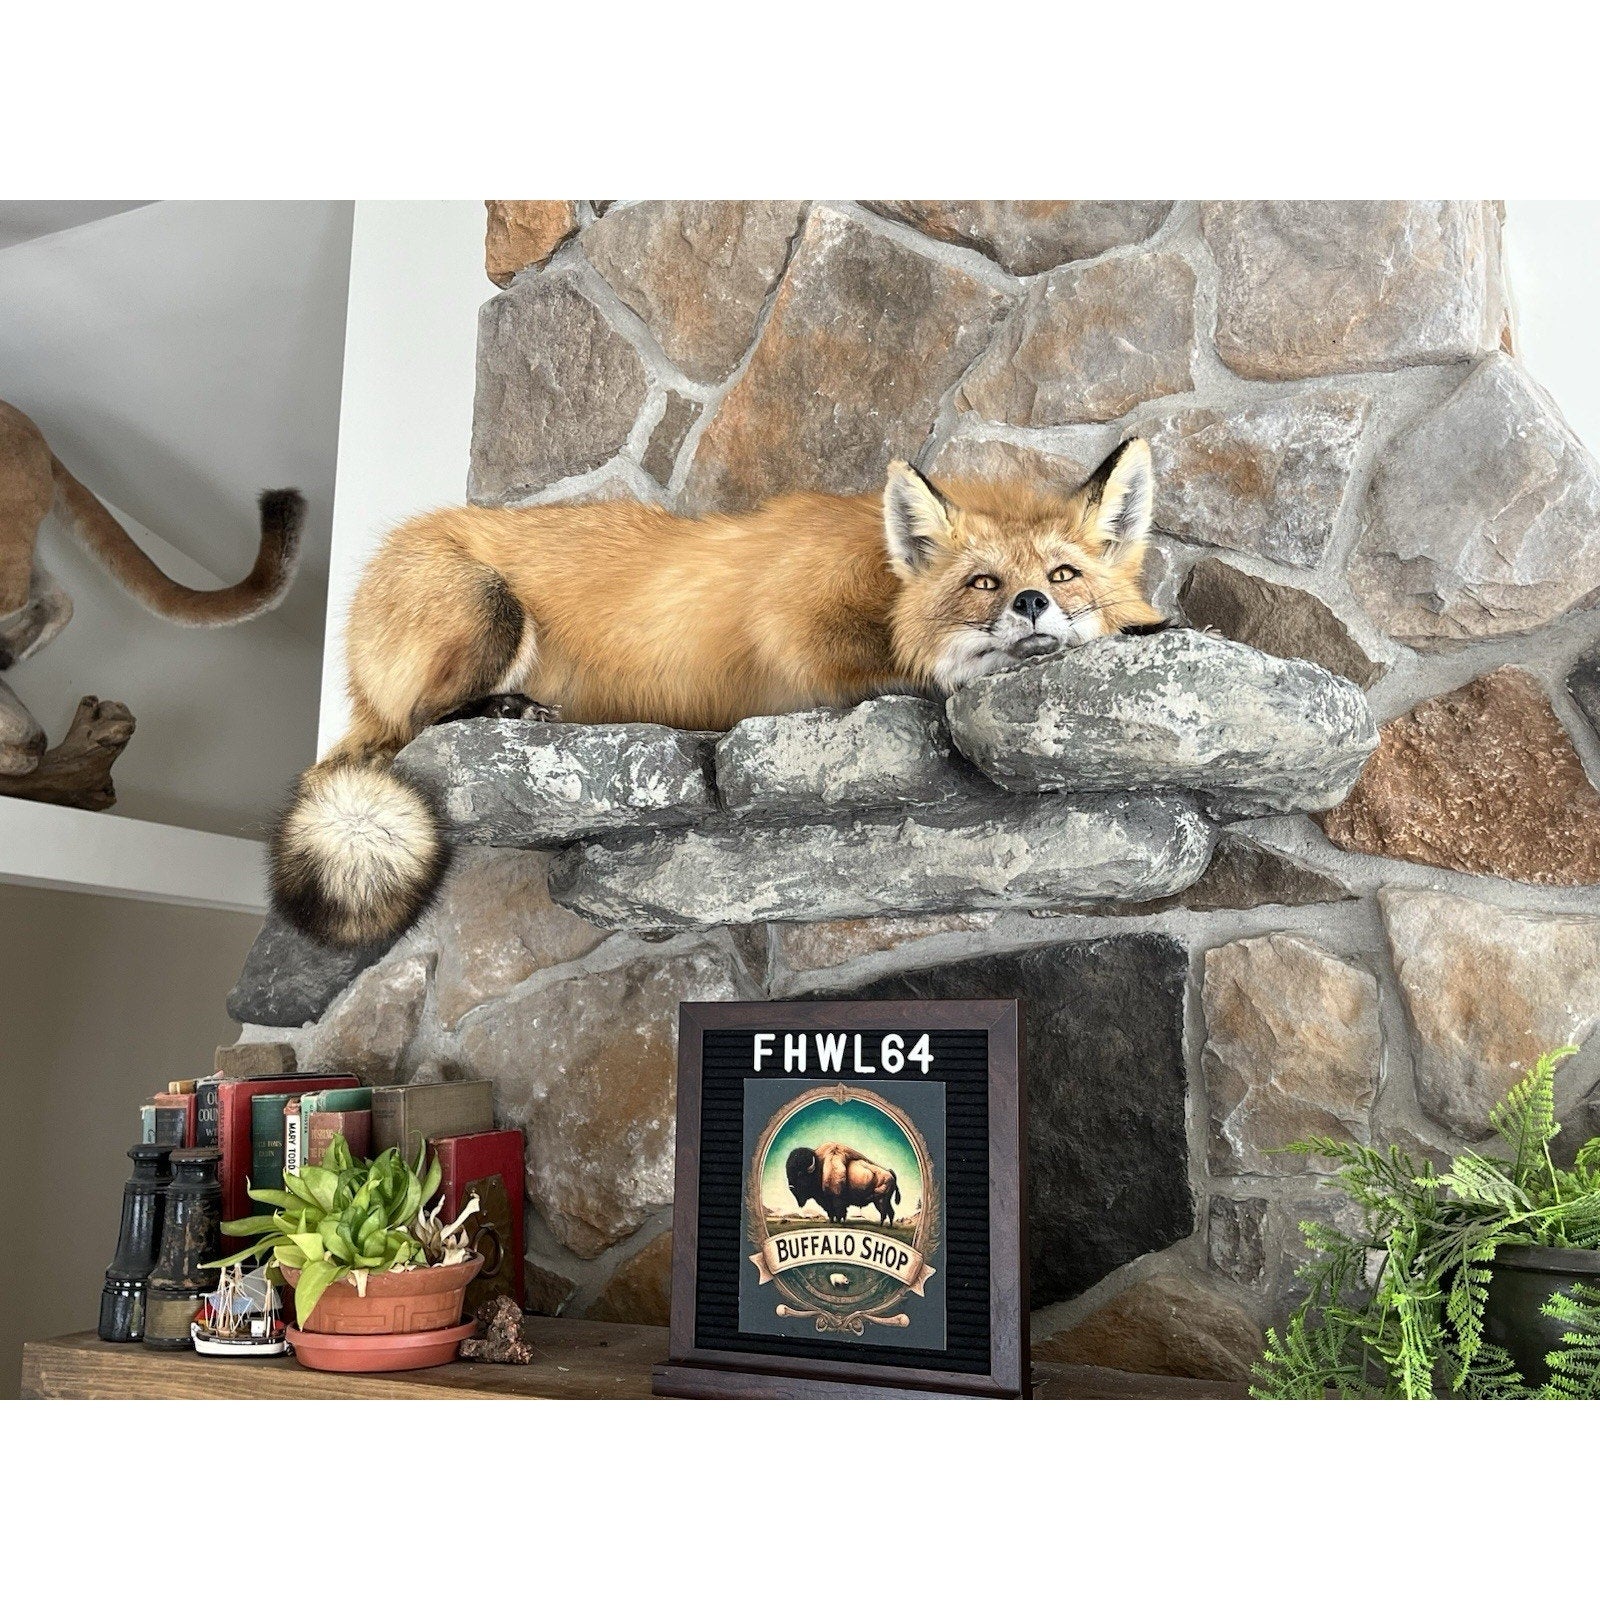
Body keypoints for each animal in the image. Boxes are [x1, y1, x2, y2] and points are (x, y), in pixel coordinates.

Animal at [272, 438, 1163, 949]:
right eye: (984, 583)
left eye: (1062, 574)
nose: (1032, 604)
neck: (879, 578)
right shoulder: (795, 640)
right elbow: (919, 670)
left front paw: (1144, 625)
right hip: (491, 615)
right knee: (422, 722)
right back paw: (501, 713)